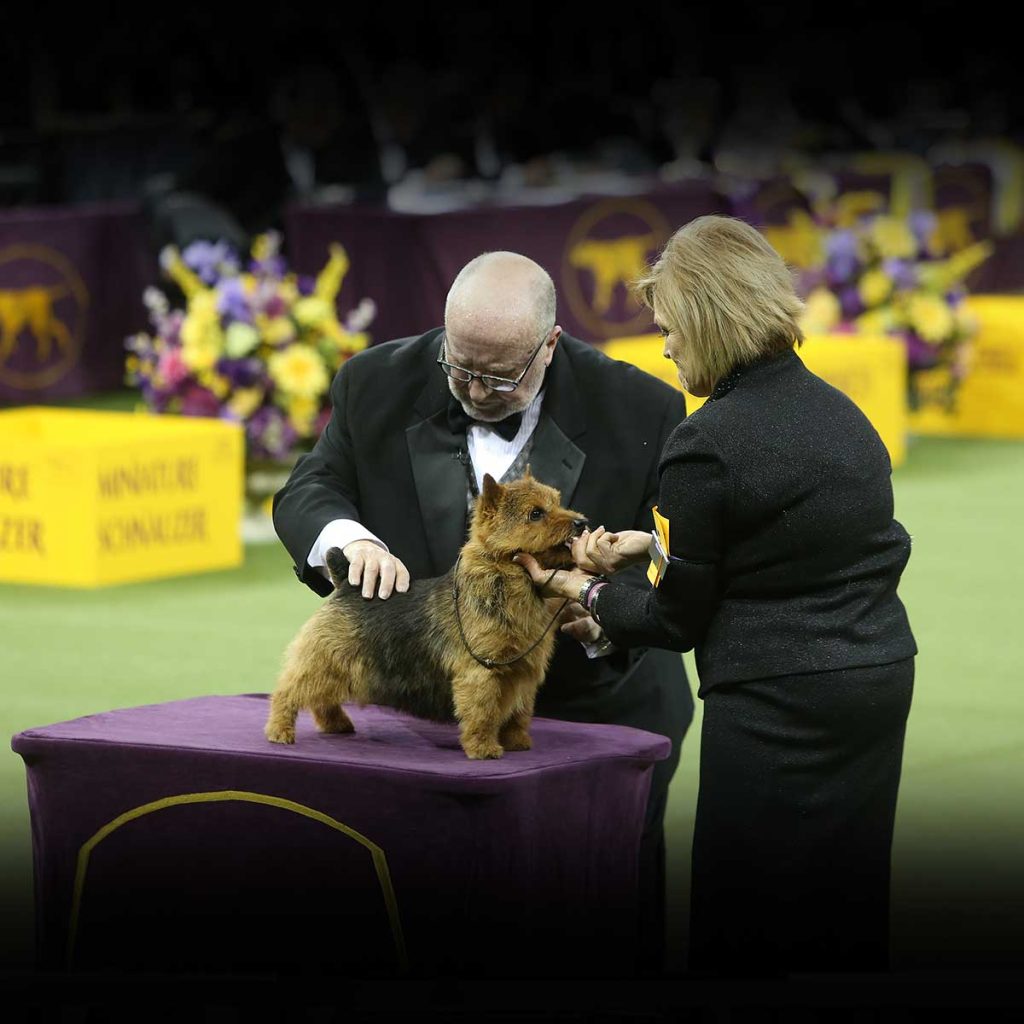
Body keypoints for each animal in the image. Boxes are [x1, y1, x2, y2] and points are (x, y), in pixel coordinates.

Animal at [262, 473, 585, 761]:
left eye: (558, 502)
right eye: (535, 513)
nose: (581, 522)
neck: (509, 579)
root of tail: (346, 584)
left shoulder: (524, 673)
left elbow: (519, 713)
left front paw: (518, 742)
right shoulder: (481, 672)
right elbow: (482, 712)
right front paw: (483, 748)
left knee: (322, 698)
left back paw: (336, 724)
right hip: (323, 659)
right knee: (289, 691)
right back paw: (279, 730)